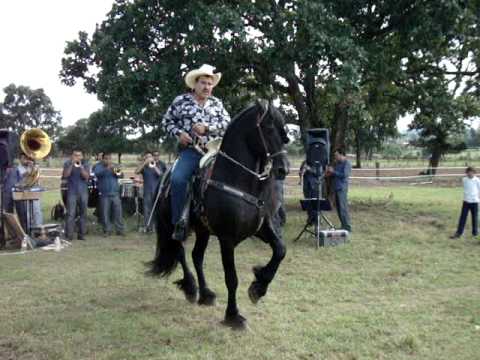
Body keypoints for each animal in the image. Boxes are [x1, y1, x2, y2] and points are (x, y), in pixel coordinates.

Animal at [146, 100, 288, 330]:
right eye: (267, 128)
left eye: (283, 130)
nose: (283, 168)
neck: (236, 180)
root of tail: (164, 178)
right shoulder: (227, 239)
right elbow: (232, 278)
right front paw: (233, 316)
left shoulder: (260, 228)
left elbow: (280, 250)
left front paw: (258, 286)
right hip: (173, 227)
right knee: (180, 252)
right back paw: (191, 288)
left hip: (203, 231)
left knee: (196, 256)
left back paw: (206, 294)